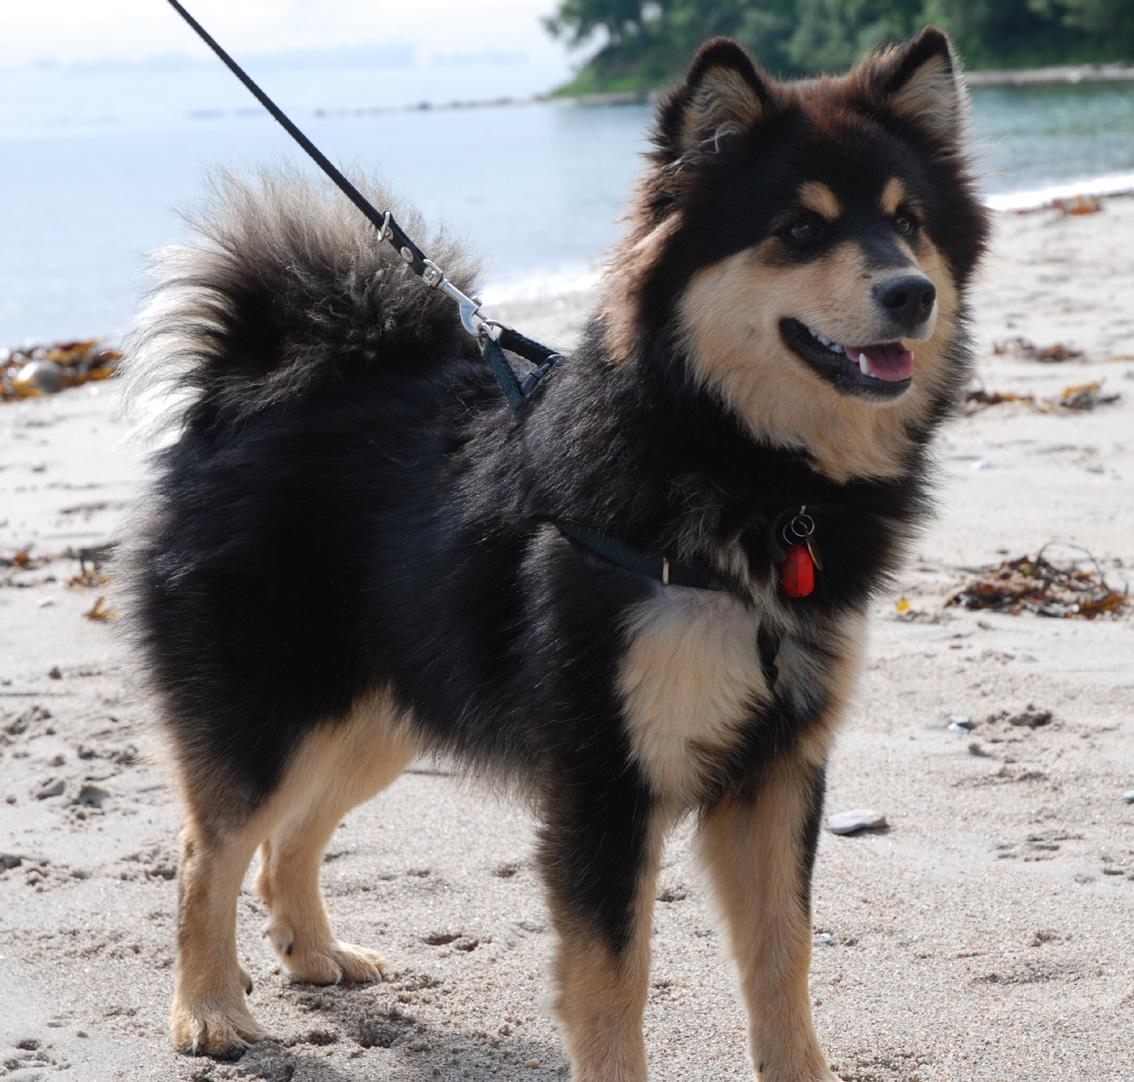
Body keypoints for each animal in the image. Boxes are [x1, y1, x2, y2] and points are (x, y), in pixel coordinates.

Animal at [128, 25, 988, 1079]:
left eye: (909, 223)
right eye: (799, 230)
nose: (911, 293)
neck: (742, 464)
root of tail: (252, 385)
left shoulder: (778, 768)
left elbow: (783, 955)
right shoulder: (606, 776)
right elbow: (612, 979)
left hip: (382, 709)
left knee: (291, 833)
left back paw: (315, 951)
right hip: (272, 708)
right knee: (206, 851)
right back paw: (208, 1008)